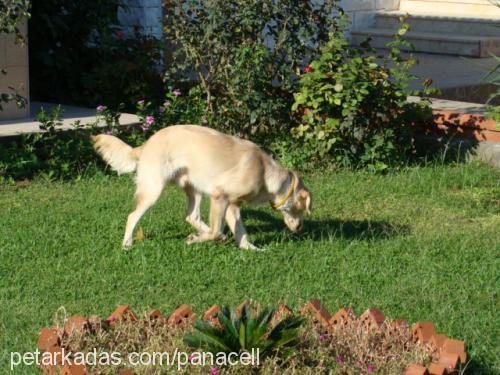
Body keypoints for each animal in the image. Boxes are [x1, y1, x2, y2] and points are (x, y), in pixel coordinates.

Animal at [91, 125, 310, 251]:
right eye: (302, 208)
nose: (301, 228)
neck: (264, 172)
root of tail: (145, 144)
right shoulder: (220, 196)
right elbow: (216, 229)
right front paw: (194, 240)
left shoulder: (232, 205)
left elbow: (238, 231)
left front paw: (250, 248)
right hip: (154, 190)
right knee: (132, 216)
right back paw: (127, 243)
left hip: (194, 188)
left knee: (192, 216)